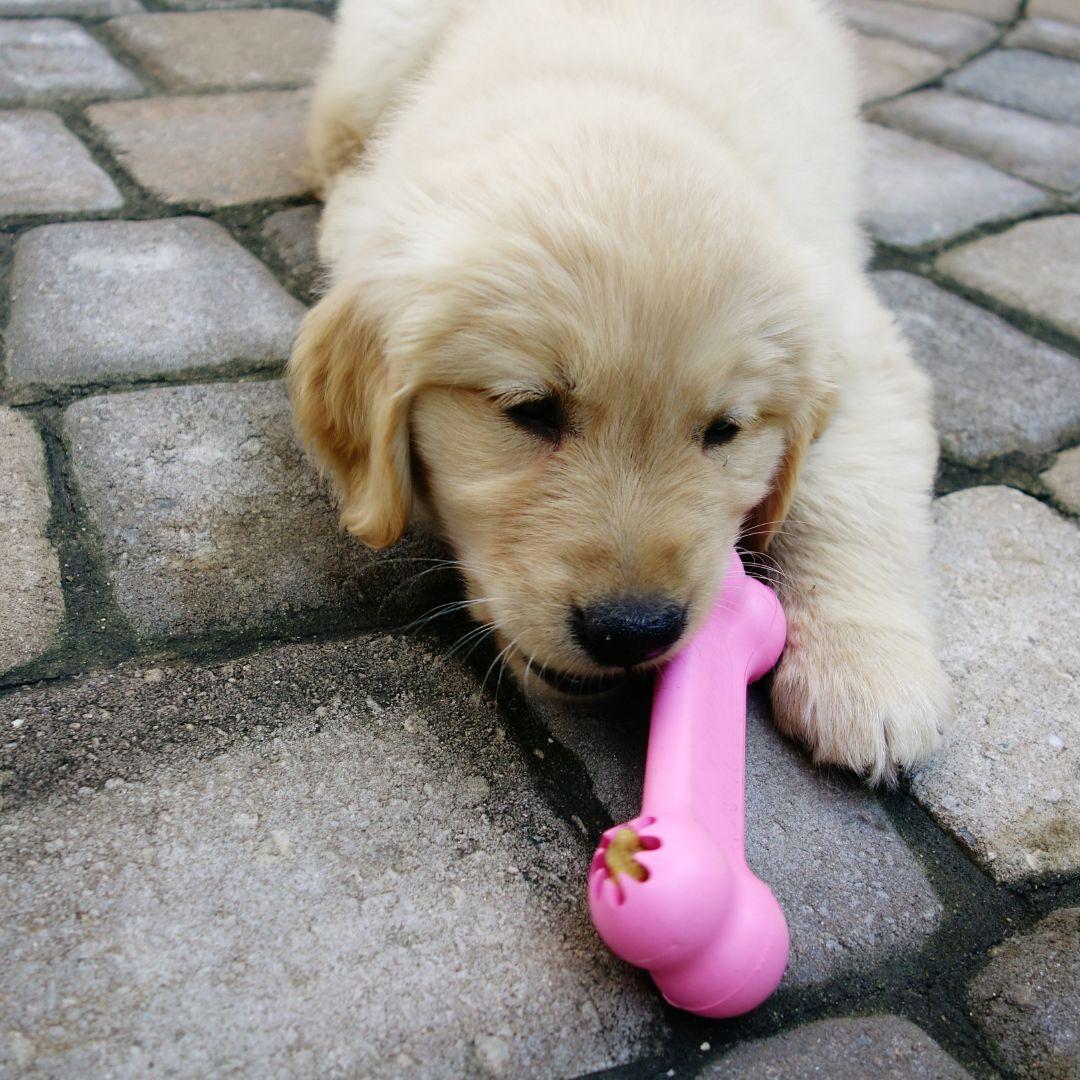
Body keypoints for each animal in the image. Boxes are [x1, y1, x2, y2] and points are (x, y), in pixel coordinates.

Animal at [291, 0, 950, 781]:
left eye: (725, 431)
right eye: (531, 411)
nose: (634, 631)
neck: (616, 90)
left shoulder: (855, 336)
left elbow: (853, 494)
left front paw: (867, 670)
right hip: (377, 55)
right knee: (335, 146)